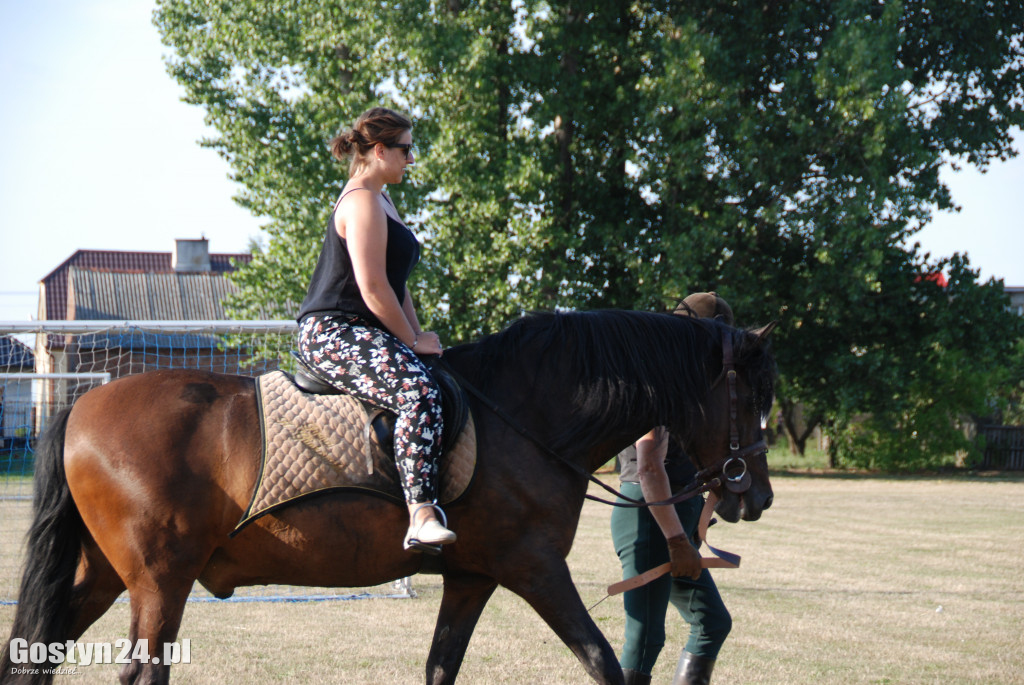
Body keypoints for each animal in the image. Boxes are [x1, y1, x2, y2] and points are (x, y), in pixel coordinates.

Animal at [0, 311, 774, 683]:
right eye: (755, 398)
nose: (756, 495)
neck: (524, 412)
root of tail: (84, 402)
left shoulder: (471, 577)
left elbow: (439, 668)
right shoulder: (535, 569)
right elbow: (602, 661)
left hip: (105, 576)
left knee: (33, 655)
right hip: (161, 581)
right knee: (140, 671)